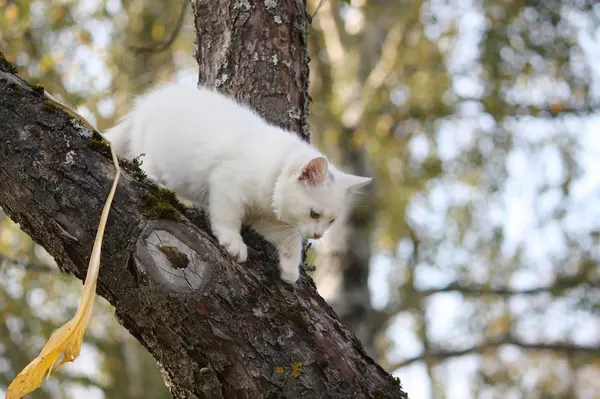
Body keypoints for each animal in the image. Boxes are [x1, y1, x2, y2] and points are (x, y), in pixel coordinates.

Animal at [105, 84, 372, 284]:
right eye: (314, 214)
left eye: (332, 221)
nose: (318, 235)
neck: (273, 173)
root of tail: (144, 105)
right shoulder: (227, 184)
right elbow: (228, 219)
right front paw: (233, 244)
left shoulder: (267, 219)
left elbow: (290, 244)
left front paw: (289, 270)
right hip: (156, 153)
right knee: (144, 165)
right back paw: (156, 182)